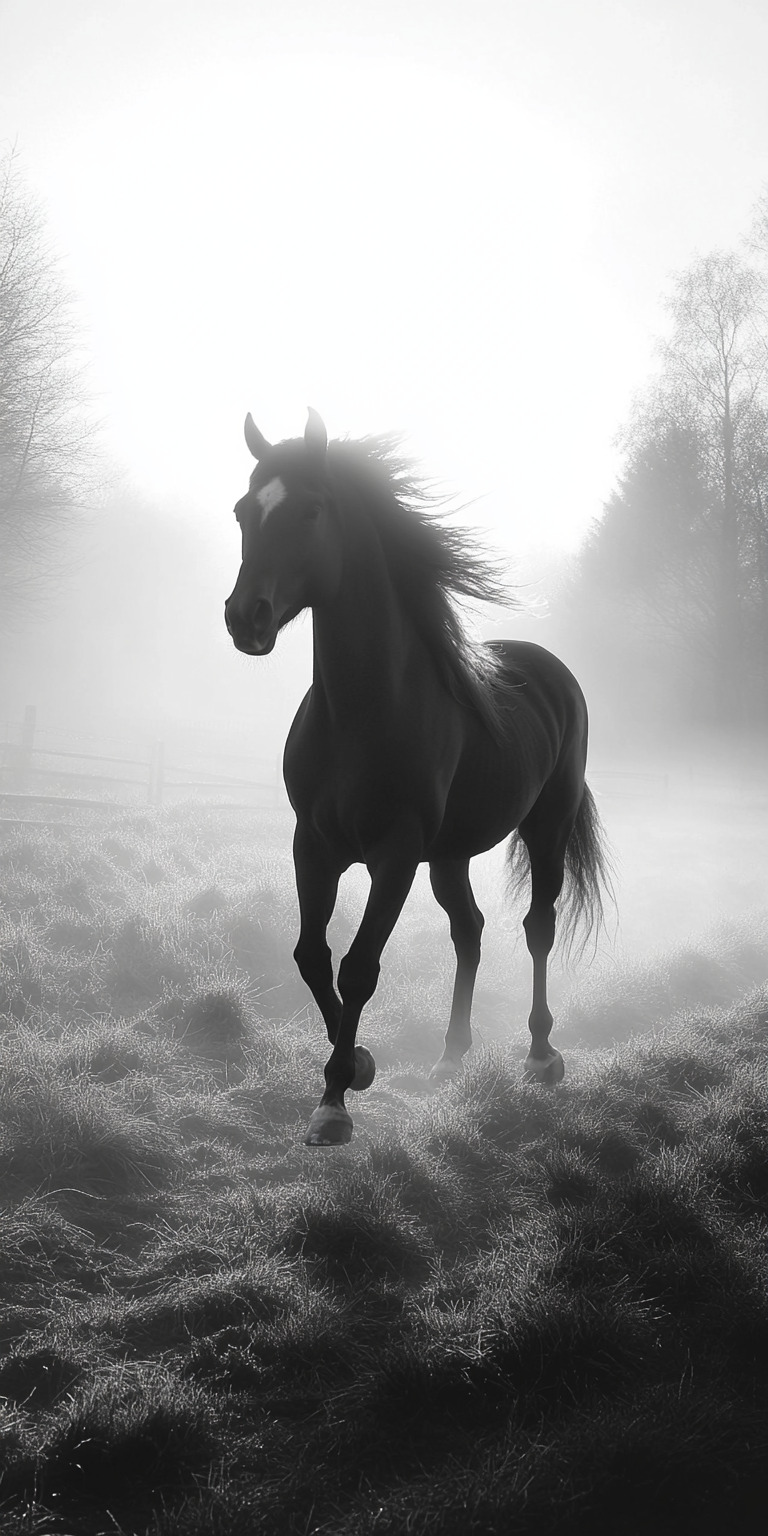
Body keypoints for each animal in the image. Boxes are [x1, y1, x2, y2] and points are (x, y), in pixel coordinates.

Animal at [224, 409, 610, 1146]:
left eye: (311, 510)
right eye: (241, 512)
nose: (243, 618)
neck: (363, 712)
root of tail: (552, 671)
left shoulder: (395, 854)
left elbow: (358, 966)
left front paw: (334, 1102)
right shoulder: (313, 846)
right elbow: (312, 956)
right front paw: (357, 1066)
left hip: (544, 828)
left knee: (536, 927)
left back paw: (541, 1055)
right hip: (451, 855)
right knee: (470, 930)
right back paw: (451, 1056)